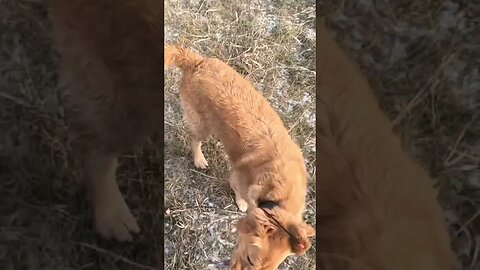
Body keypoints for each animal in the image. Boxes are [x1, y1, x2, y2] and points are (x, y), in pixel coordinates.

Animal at [165, 45, 316, 268]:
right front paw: (242, 203)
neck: (278, 196)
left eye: (272, 269)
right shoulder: (238, 178)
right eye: (250, 259)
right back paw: (199, 159)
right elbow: (240, 194)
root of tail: (197, 62)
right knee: (194, 140)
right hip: (202, 124)